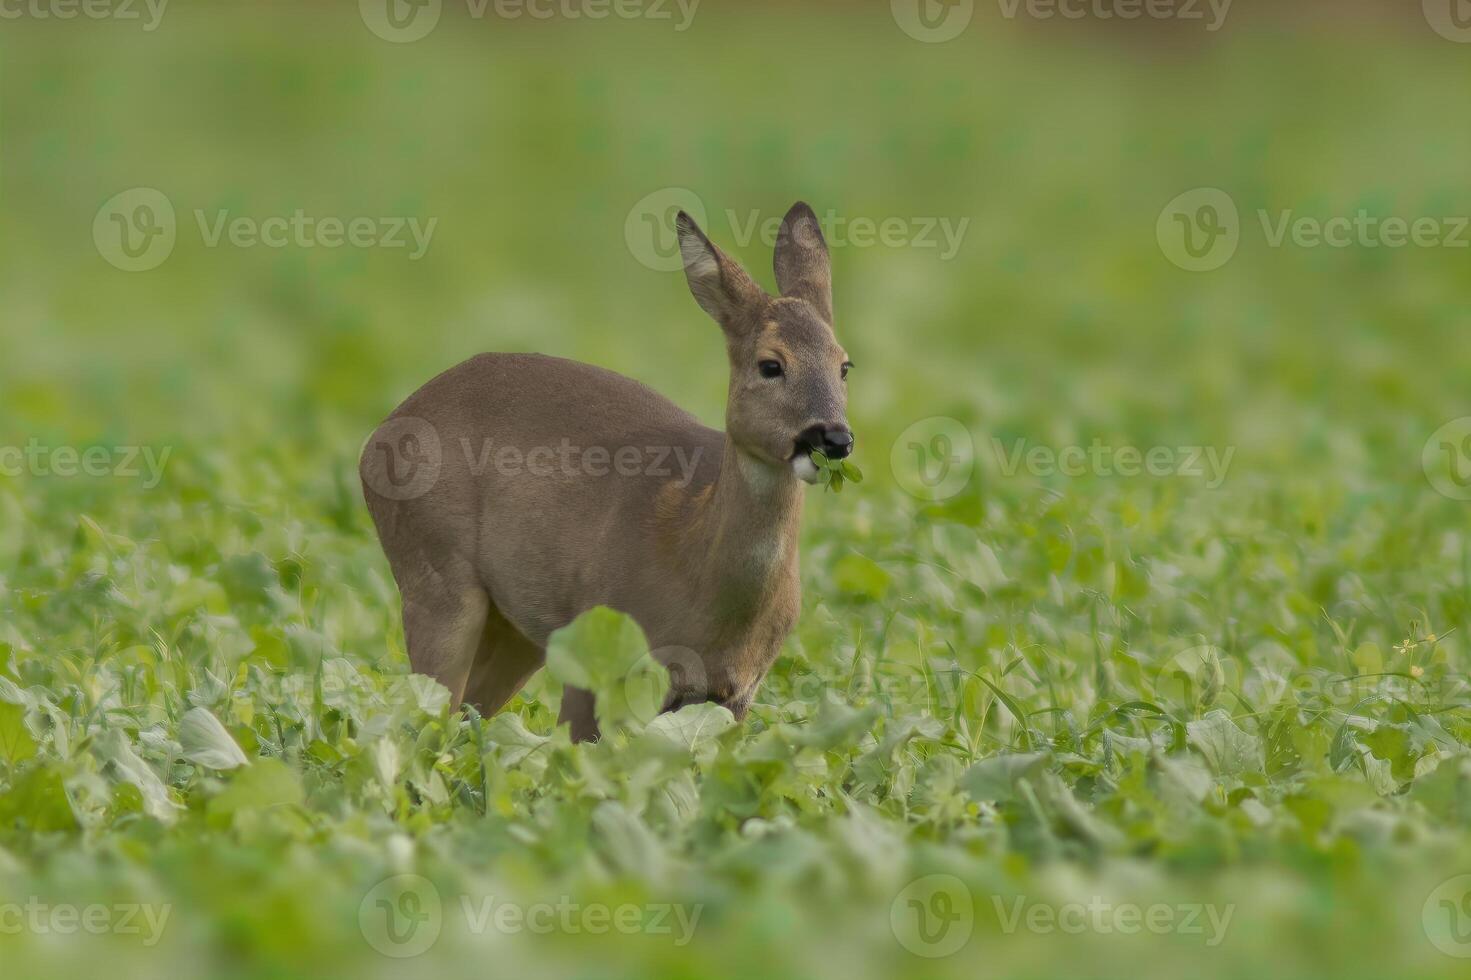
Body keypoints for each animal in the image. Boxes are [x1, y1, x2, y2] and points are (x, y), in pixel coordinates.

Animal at [357, 206, 859, 741]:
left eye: (844, 365)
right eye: (770, 364)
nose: (833, 438)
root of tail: (376, 438)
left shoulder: (736, 694)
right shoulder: (597, 654)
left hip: (516, 625)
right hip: (436, 575)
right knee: (427, 716)